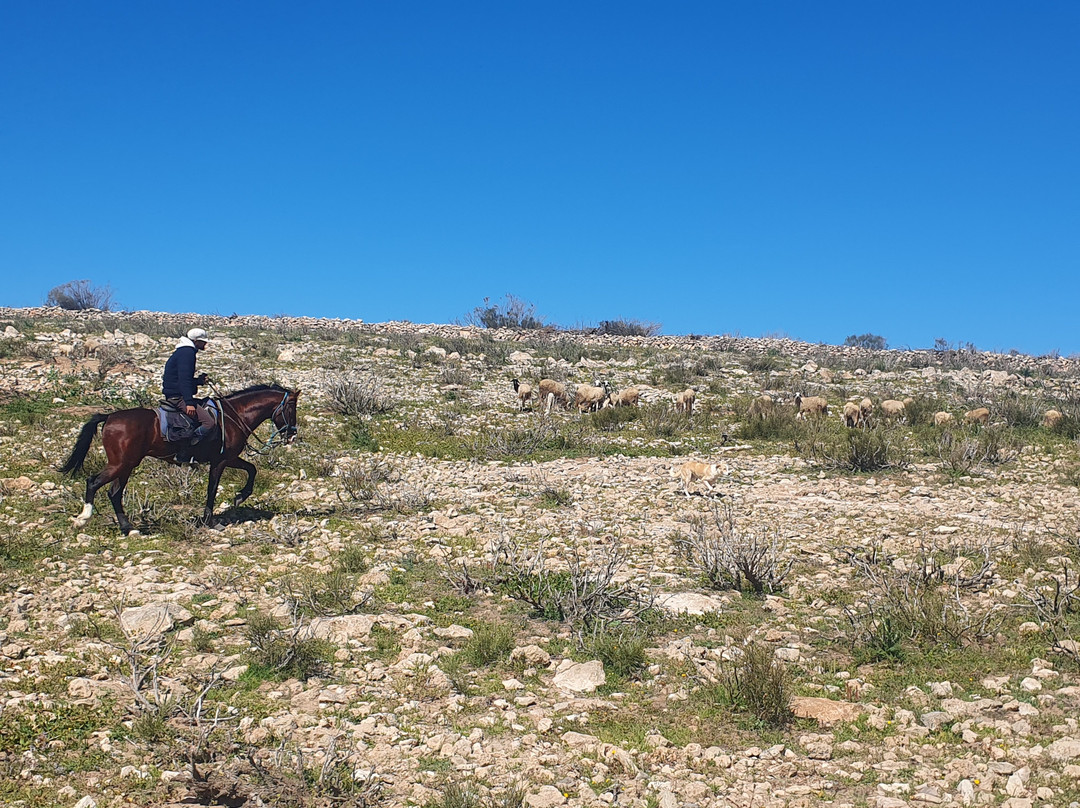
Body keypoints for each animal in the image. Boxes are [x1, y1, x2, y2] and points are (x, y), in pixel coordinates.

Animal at [60, 384, 300, 535]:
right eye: (291, 407)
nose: (292, 434)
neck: (234, 415)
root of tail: (109, 416)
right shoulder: (221, 461)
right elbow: (213, 489)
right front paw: (209, 520)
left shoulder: (230, 458)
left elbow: (251, 469)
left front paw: (240, 496)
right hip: (120, 464)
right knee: (94, 482)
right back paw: (83, 518)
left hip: (127, 465)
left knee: (114, 493)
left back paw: (128, 527)